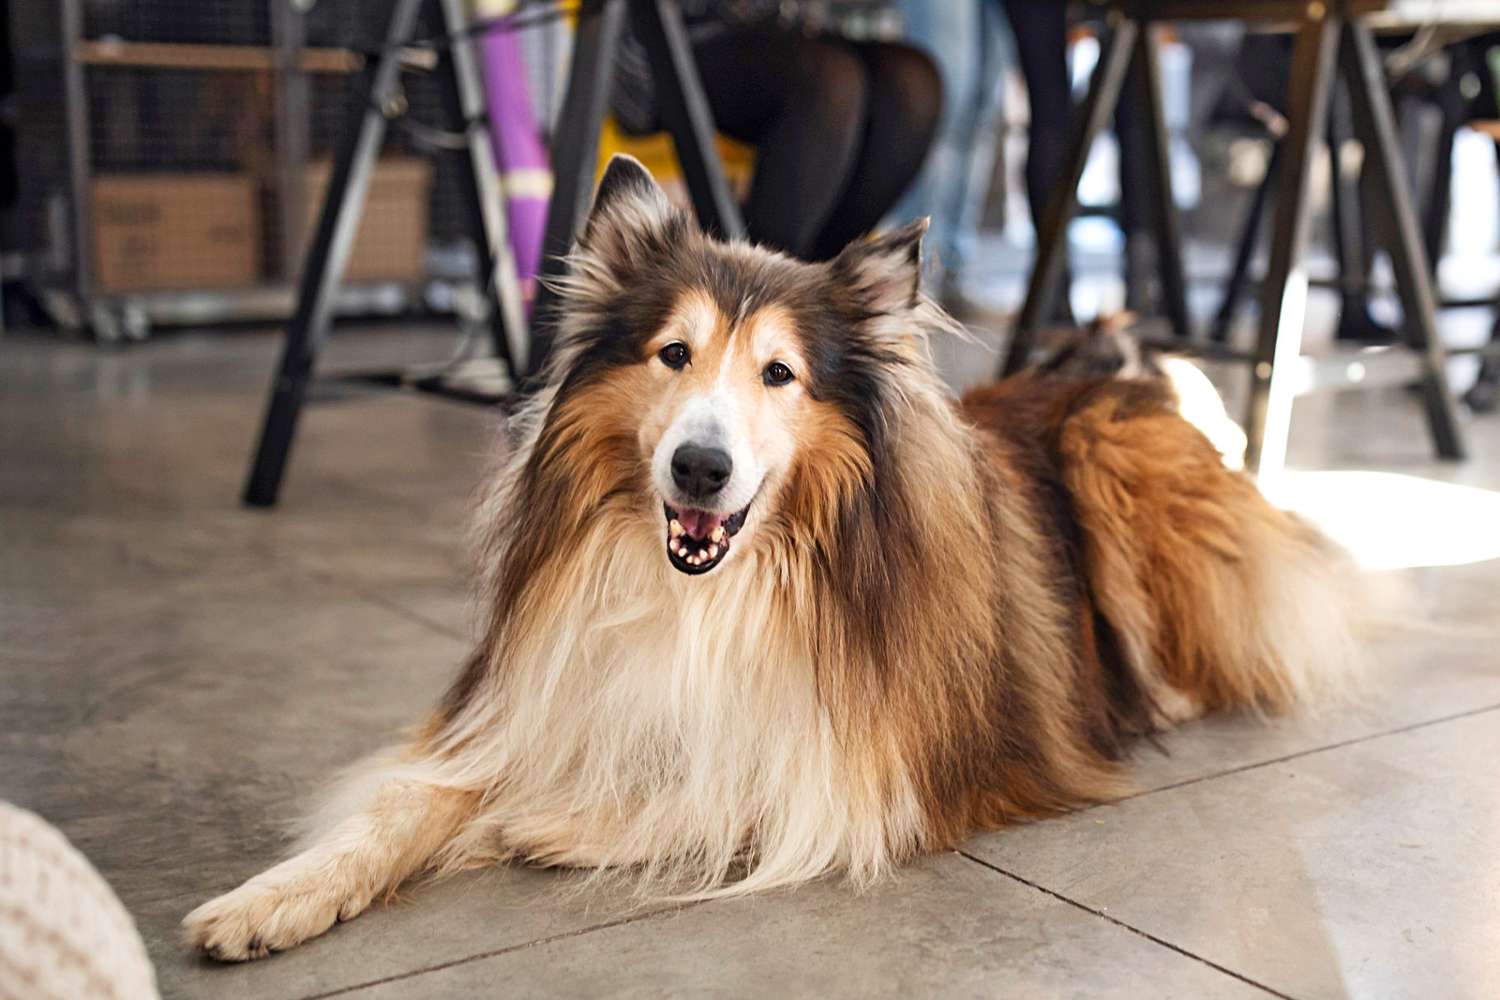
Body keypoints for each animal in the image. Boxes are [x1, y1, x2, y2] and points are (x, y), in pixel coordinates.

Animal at [181, 156, 1356, 959]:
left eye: (780, 375)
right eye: (673, 353)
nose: (700, 468)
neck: (713, 592)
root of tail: (1117, 370)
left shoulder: (879, 767)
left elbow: (736, 786)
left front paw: (548, 822)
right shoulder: (525, 703)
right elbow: (402, 805)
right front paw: (270, 897)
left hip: (1113, 458)